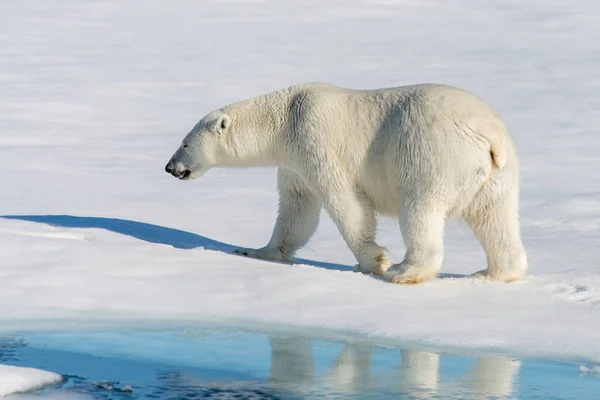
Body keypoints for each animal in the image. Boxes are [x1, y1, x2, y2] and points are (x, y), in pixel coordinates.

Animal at [164, 81, 524, 282]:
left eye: (185, 143)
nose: (170, 167)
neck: (285, 117)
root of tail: (489, 134)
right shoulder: (293, 161)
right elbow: (297, 209)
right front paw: (254, 251)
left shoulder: (314, 136)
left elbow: (344, 200)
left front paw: (373, 262)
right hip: (497, 174)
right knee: (496, 217)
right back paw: (495, 272)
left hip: (431, 154)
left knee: (420, 209)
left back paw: (404, 272)